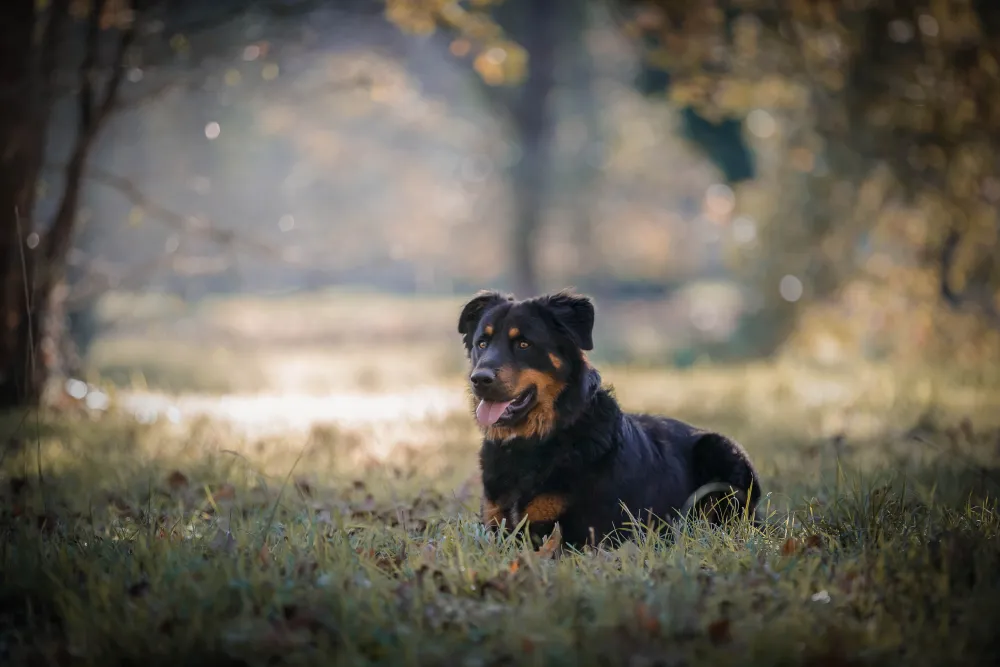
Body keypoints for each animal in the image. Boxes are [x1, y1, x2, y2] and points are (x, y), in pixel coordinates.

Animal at [457, 289, 763, 549]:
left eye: (523, 344)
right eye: (482, 343)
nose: (480, 379)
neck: (541, 438)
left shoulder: (581, 536)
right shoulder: (495, 527)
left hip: (720, 450)